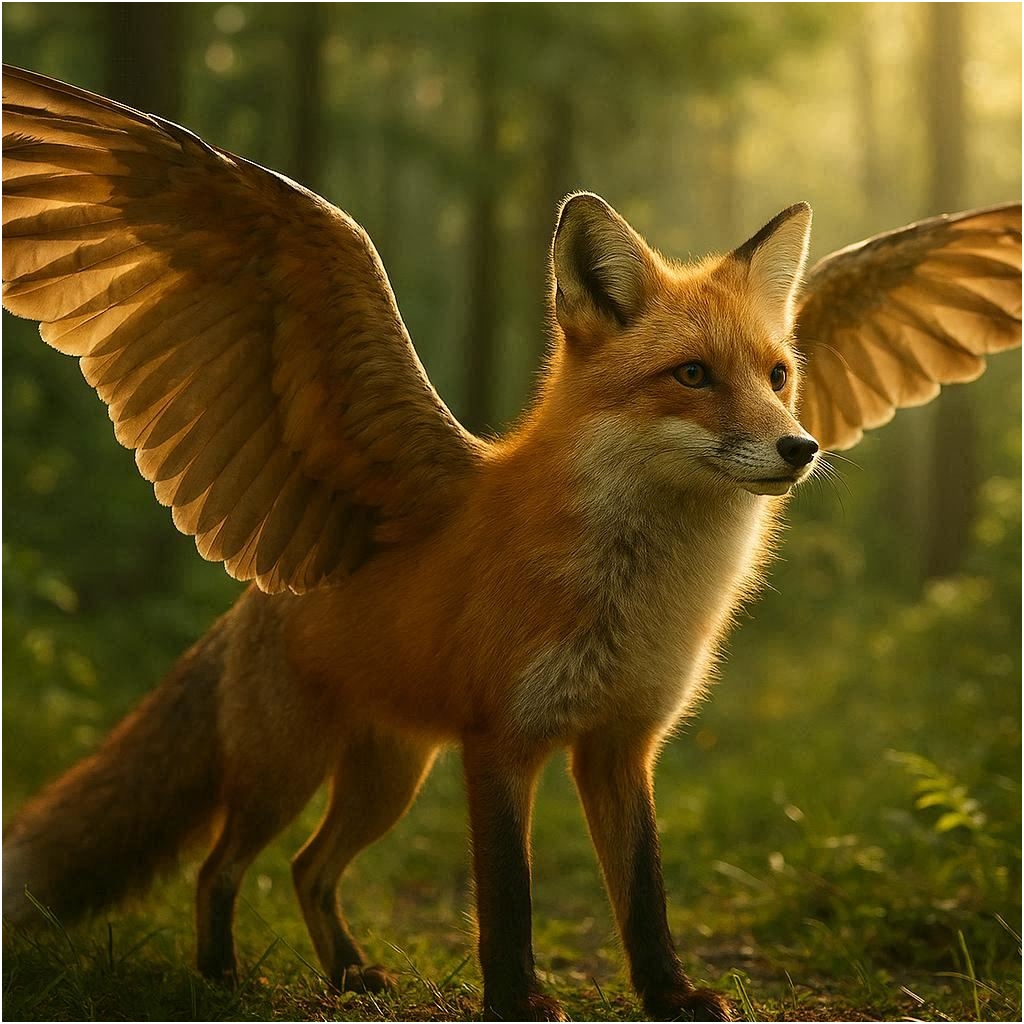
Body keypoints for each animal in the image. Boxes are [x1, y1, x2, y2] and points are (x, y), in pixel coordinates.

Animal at [2, 65, 1021, 1022]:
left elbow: (644, 899)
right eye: (692, 376)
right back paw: (220, 976)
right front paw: (516, 1000)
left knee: (307, 869)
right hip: (286, 772)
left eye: (779, 377)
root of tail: (249, 606)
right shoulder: (502, 739)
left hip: (389, 777)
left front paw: (670, 996)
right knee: (222, 867)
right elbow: (507, 902)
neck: (639, 593)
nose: (800, 447)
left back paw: (347, 974)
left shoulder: (620, 744)